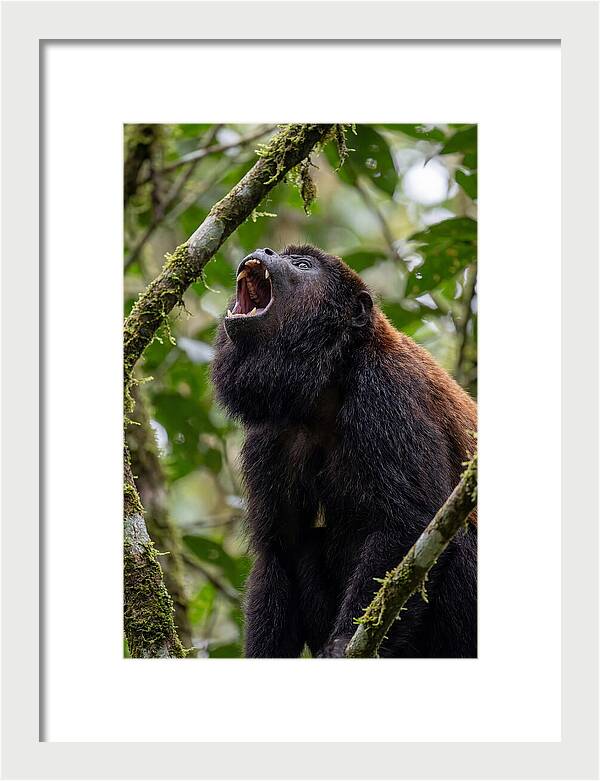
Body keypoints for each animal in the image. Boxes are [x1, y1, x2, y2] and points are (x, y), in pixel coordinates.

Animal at [211, 245, 477, 658]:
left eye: (302, 265)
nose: (265, 250)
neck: (330, 381)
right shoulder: (270, 434)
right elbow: (279, 551)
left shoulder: (386, 393)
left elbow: (410, 522)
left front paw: (341, 643)